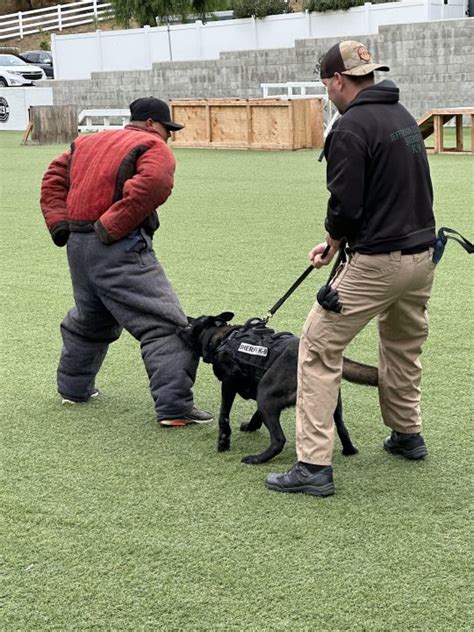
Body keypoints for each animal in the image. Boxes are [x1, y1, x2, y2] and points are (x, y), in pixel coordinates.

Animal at [180, 312, 380, 464]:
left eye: (191, 324)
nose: (185, 319)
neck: (223, 337)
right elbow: (256, 415)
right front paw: (251, 426)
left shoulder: (229, 382)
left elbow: (224, 416)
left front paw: (223, 442)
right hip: (329, 401)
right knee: (341, 427)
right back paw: (349, 450)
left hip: (266, 396)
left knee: (278, 440)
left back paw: (257, 459)